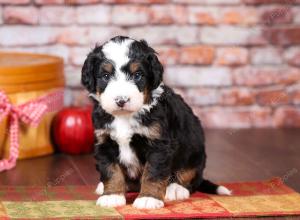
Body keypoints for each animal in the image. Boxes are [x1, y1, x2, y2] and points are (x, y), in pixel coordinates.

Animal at [81, 36, 231, 210]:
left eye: (137, 75)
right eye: (105, 76)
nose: (121, 100)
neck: (125, 116)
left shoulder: (158, 143)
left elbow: (153, 172)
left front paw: (148, 198)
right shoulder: (104, 141)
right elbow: (110, 170)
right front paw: (111, 195)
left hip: (195, 151)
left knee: (192, 177)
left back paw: (176, 189)